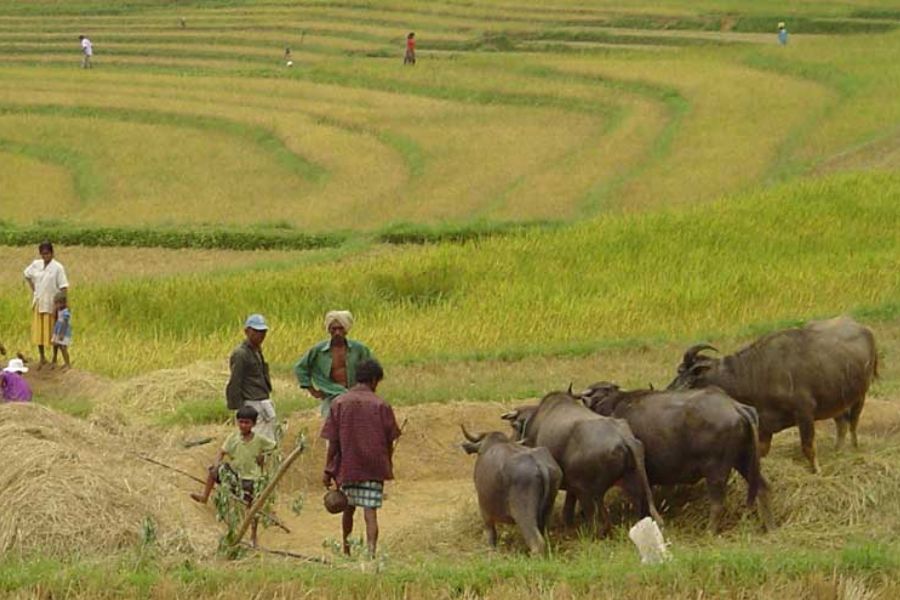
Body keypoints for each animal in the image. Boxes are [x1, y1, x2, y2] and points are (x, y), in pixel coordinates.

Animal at [500, 392, 660, 536]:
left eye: (513, 427)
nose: (511, 439)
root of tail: (625, 438)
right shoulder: (573, 487)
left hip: (588, 492)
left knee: (596, 518)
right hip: (629, 481)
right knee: (636, 505)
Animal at [580, 382, 776, 532]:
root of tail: (735, 406)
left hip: (716, 470)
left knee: (718, 503)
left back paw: (710, 531)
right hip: (744, 460)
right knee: (763, 487)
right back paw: (769, 526)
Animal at [668, 316, 880, 472]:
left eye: (689, 379)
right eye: (679, 371)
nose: (669, 392)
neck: (756, 374)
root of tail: (865, 329)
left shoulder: (805, 413)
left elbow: (808, 446)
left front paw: (817, 470)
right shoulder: (764, 424)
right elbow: (761, 452)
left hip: (860, 395)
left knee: (853, 424)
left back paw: (853, 449)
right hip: (837, 402)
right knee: (841, 423)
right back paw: (838, 451)